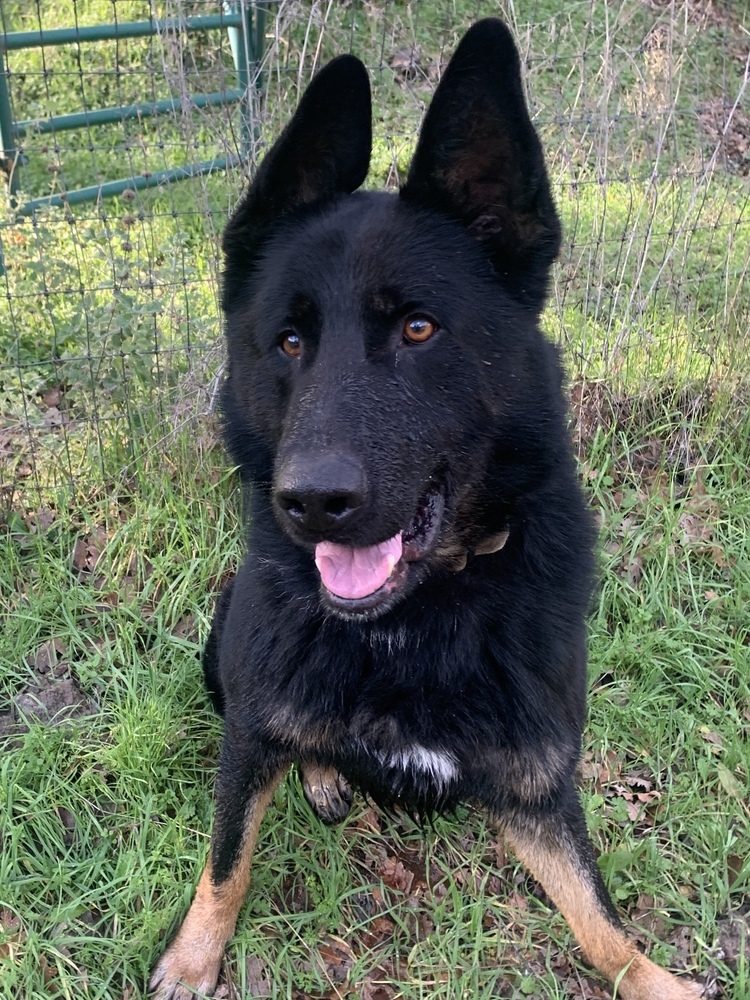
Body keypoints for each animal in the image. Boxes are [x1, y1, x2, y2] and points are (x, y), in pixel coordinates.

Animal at [150, 17, 704, 1000]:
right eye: (287, 342)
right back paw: (324, 777)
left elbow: (599, 918)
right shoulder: (249, 732)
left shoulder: (538, 784)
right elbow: (226, 859)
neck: (410, 624)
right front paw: (194, 957)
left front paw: (655, 978)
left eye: (418, 329)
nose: (313, 502)